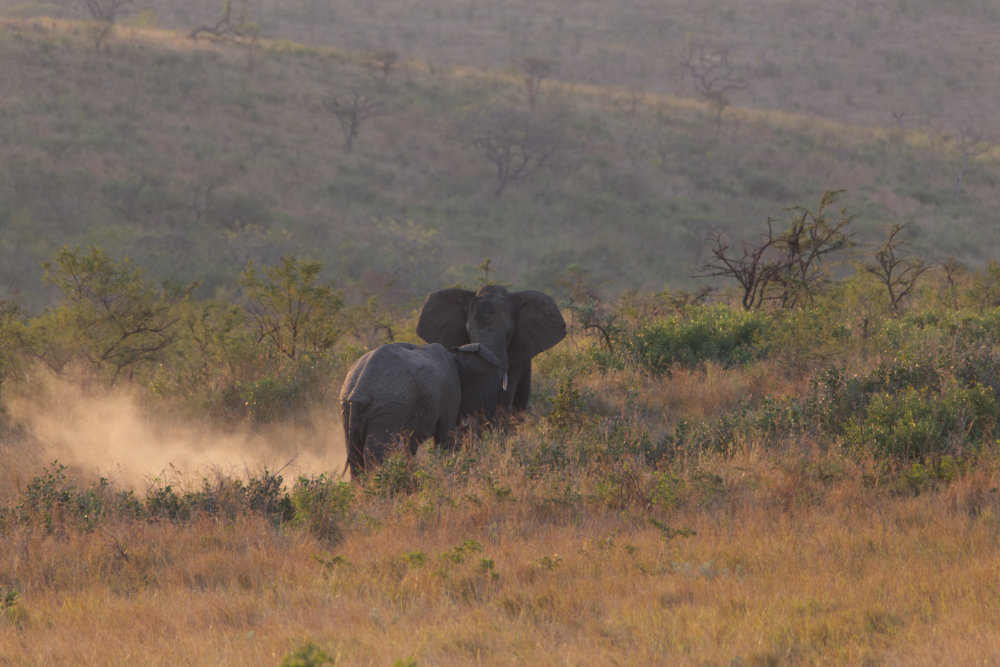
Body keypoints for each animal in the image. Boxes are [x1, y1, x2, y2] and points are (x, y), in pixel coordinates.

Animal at [339, 342, 505, 478]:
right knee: (376, 453)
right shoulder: (451, 392)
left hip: (347, 406)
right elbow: (446, 437)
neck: (455, 355)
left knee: (355, 454)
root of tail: (359, 390)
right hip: (387, 408)